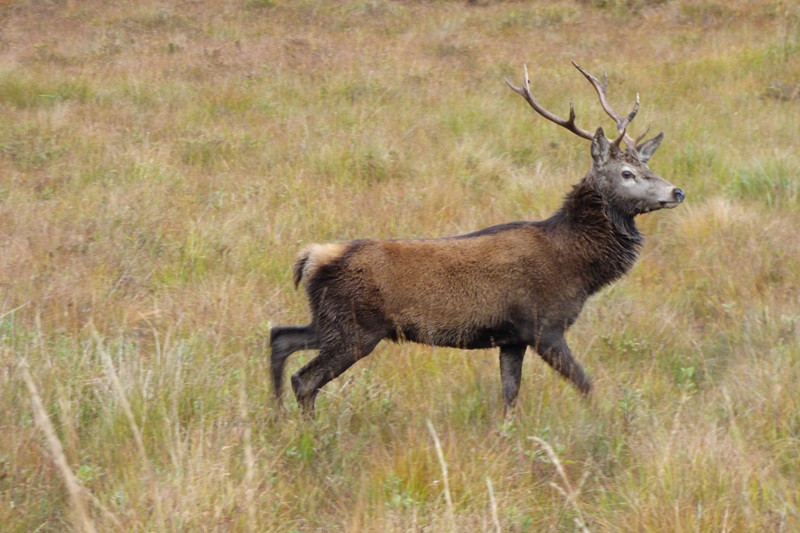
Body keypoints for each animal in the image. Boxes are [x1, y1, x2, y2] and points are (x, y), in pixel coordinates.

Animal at [272, 62, 684, 418]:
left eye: (648, 165)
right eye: (627, 172)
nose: (677, 191)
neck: (577, 267)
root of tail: (312, 257)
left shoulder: (512, 338)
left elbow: (510, 395)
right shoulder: (543, 325)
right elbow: (585, 384)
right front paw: (604, 424)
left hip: (330, 321)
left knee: (280, 337)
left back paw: (277, 417)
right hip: (355, 329)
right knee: (304, 379)